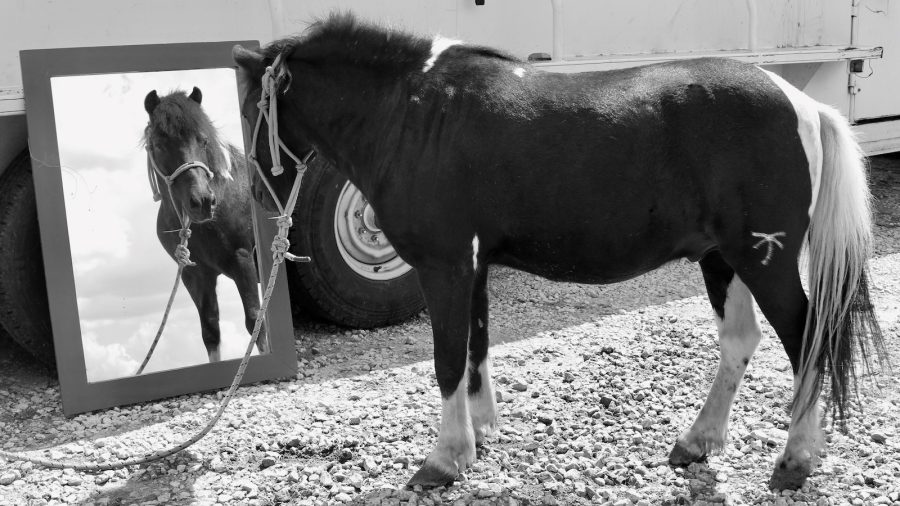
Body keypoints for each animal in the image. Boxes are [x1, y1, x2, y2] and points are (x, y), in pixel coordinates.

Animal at [143, 87, 268, 363]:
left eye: (204, 140)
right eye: (158, 144)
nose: (202, 201)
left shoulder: (243, 261)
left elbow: (256, 322)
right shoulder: (195, 275)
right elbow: (210, 331)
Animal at [232, 13, 888, 490]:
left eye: (248, 110)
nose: (256, 199)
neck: (417, 116)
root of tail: (804, 105)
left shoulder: (445, 266)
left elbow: (447, 359)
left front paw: (443, 460)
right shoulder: (474, 266)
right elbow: (474, 348)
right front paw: (480, 435)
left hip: (763, 259)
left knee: (808, 340)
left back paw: (795, 461)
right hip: (722, 259)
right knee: (740, 341)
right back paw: (696, 442)